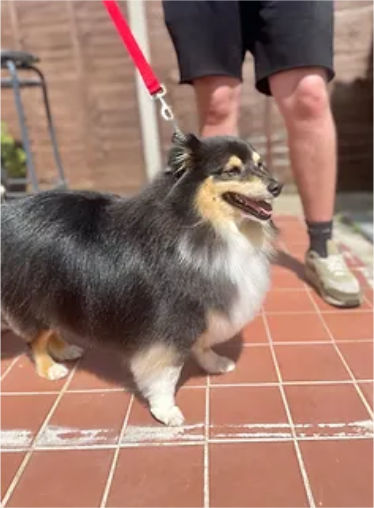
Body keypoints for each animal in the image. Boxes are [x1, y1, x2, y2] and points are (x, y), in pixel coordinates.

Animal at [1, 133, 280, 426]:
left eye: (260, 164)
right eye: (231, 170)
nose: (277, 187)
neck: (203, 224)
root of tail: (8, 210)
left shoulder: (200, 308)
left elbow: (202, 344)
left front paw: (215, 364)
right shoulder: (171, 319)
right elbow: (165, 373)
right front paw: (166, 410)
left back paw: (66, 350)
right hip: (34, 296)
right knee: (35, 339)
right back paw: (50, 368)